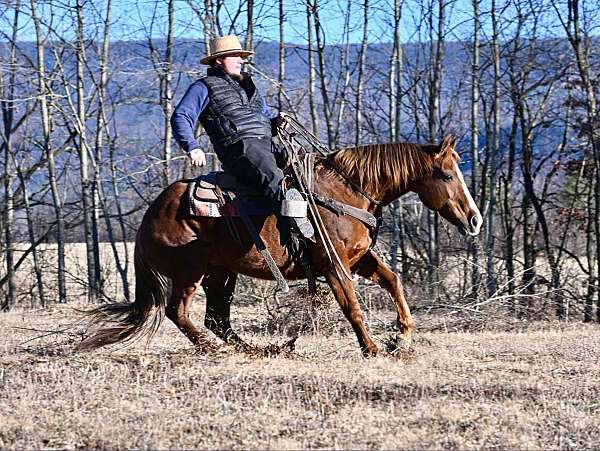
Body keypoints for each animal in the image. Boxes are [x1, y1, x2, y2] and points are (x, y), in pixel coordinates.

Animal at [79, 134, 482, 356]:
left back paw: (258, 349)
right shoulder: (334, 266)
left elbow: (393, 281)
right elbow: (352, 307)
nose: (475, 219)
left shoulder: (359, 258)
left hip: (221, 273)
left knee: (217, 319)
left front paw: (402, 338)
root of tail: (153, 212)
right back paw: (213, 349)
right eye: (447, 175)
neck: (346, 192)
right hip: (189, 272)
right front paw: (371, 348)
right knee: (179, 312)